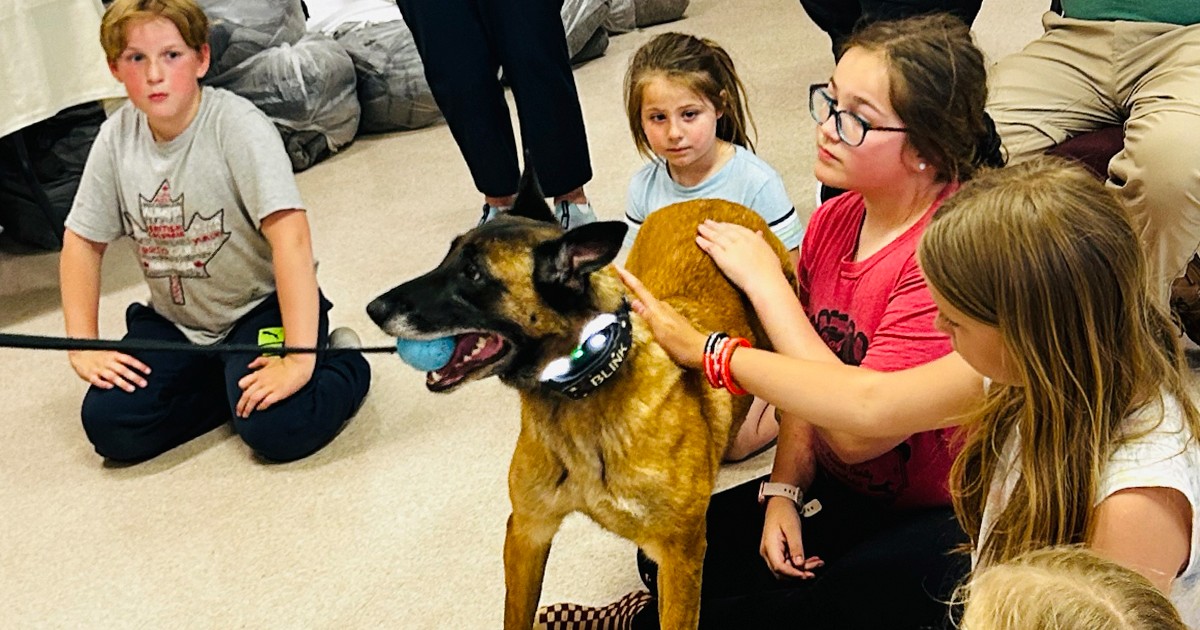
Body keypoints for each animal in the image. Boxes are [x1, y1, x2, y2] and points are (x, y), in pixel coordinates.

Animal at [364, 169, 796, 624]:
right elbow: (515, 613)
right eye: (447, 258)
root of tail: (707, 200)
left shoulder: (680, 558)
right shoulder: (527, 532)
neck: (580, 387)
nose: (373, 309)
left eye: (474, 275)